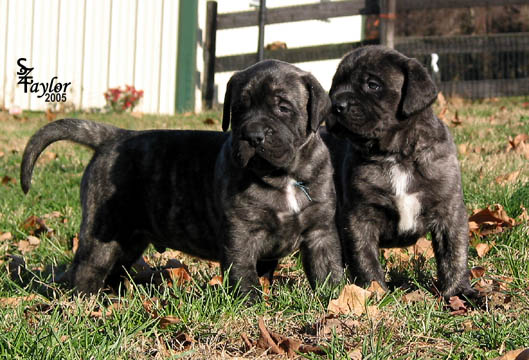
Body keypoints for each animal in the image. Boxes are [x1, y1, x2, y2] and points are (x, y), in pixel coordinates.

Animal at [20, 58, 342, 296]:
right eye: (239, 109)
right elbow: (243, 273)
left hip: (129, 238)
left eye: (283, 107)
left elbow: (328, 269)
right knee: (88, 269)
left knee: (115, 268)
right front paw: (250, 302)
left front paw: (337, 298)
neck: (284, 176)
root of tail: (114, 136)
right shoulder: (241, 232)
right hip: (104, 231)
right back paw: (86, 302)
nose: (253, 135)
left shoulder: (321, 232)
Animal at [324, 46, 476, 300]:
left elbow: (453, 255)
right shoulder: (358, 216)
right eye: (334, 86)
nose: (336, 104)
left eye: (372, 85)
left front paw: (459, 292)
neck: (396, 155)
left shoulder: (449, 211)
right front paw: (373, 293)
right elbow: (364, 257)